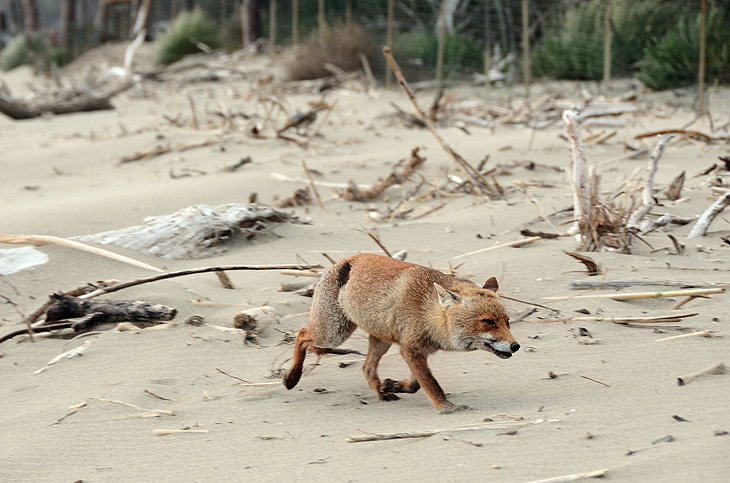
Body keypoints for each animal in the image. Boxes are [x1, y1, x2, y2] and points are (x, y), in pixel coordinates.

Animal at [280, 251, 516, 414]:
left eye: (507, 322)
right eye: (488, 322)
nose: (516, 345)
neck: (426, 311)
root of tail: (345, 260)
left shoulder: (418, 351)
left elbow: (415, 384)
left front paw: (393, 385)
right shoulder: (410, 349)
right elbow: (430, 383)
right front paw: (446, 407)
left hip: (379, 340)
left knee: (366, 368)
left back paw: (381, 393)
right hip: (332, 333)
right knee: (301, 334)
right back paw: (292, 377)